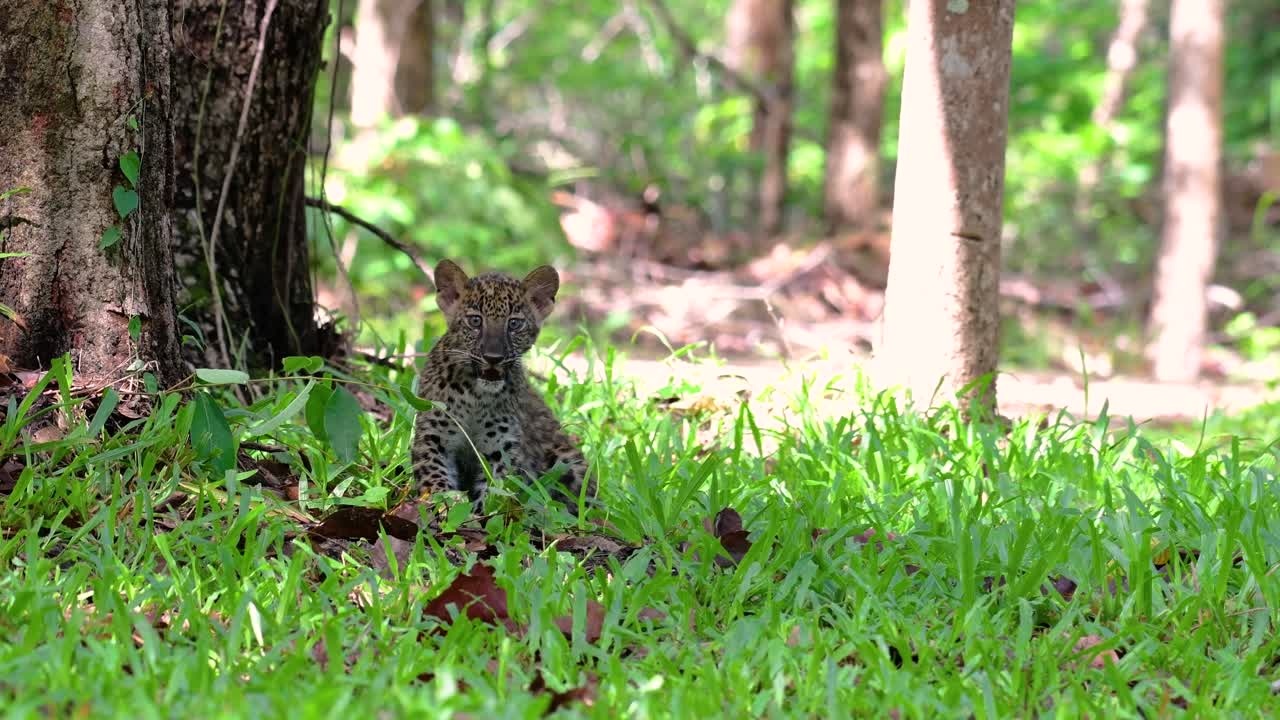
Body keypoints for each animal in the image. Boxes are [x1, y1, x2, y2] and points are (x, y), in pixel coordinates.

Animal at [409, 259, 593, 513]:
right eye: (475, 320)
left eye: (514, 324)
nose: (493, 357)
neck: (474, 395)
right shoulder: (433, 437)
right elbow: (435, 480)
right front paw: (446, 507)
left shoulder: (500, 447)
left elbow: (495, 490)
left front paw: (480, 513)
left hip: (567, 462)